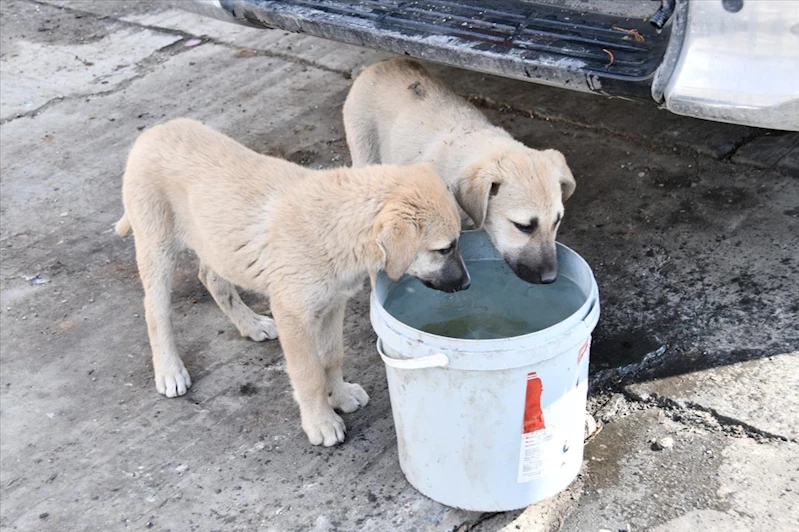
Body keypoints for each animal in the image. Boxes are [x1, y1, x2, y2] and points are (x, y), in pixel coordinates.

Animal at [118, 118, 468, 446]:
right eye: (444, 249)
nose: (466, 285)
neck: (336, 227)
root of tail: (154, 132)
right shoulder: (294, 316)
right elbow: (309, 374)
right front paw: (321, 422)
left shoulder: (332, 304)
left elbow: (331, 356)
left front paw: (340, 395)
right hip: (156, 245)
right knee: (155, 310)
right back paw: (169, 370)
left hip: (214, 243)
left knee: (212, 279)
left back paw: (251, 324)